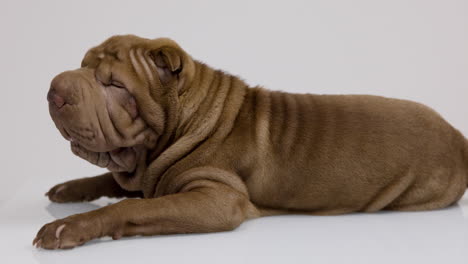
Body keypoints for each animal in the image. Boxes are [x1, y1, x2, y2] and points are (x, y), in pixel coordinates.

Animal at [33, 35, 468, 250]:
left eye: (114, 84)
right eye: (83, 64)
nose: (54, 90)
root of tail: (458, 136)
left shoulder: (218, 198)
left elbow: (129, 205)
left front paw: (68, 227)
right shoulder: (148, 175)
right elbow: (114, 182)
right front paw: (69, 189)